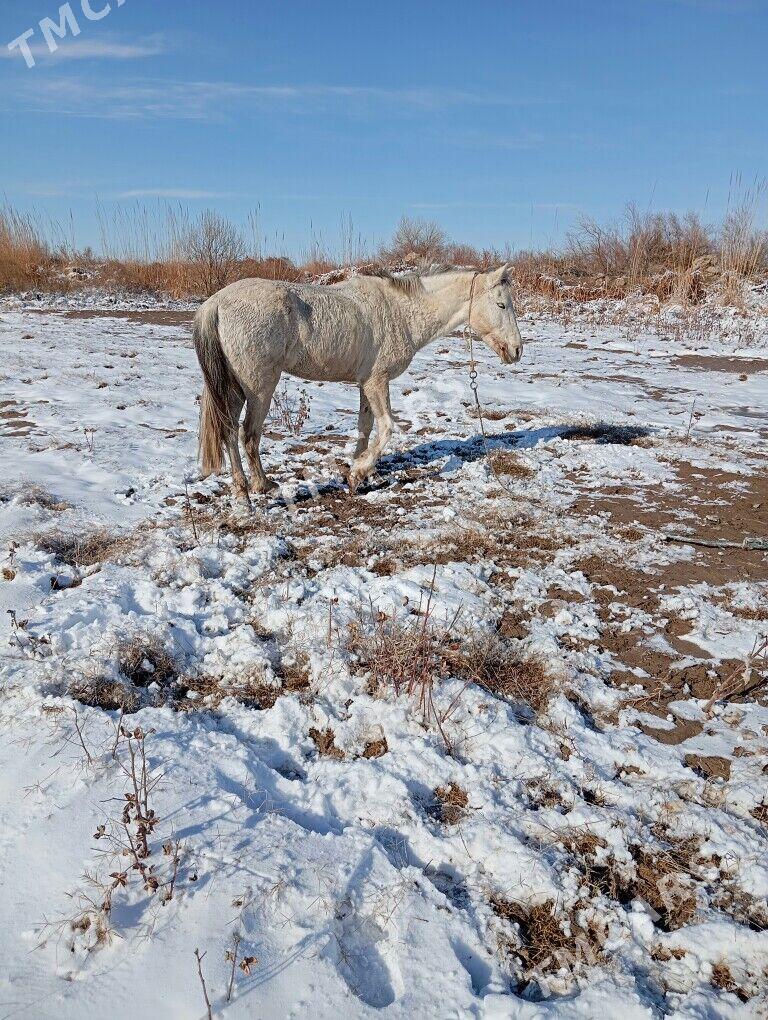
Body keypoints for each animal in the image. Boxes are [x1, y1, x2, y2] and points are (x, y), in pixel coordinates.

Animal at [194, 263, 526, 501]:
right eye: (501, 305)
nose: (517, 350)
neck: (400, 311)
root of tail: (216, 303)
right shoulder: (377, 382)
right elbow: (388, 426)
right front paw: (358, 472)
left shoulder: (366, 384)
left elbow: (366, 428)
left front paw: (364, 472)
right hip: (259, 388)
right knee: (248, 434)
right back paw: (260, 487)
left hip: (234, 388)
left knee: (227, 431)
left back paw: (242, 488)